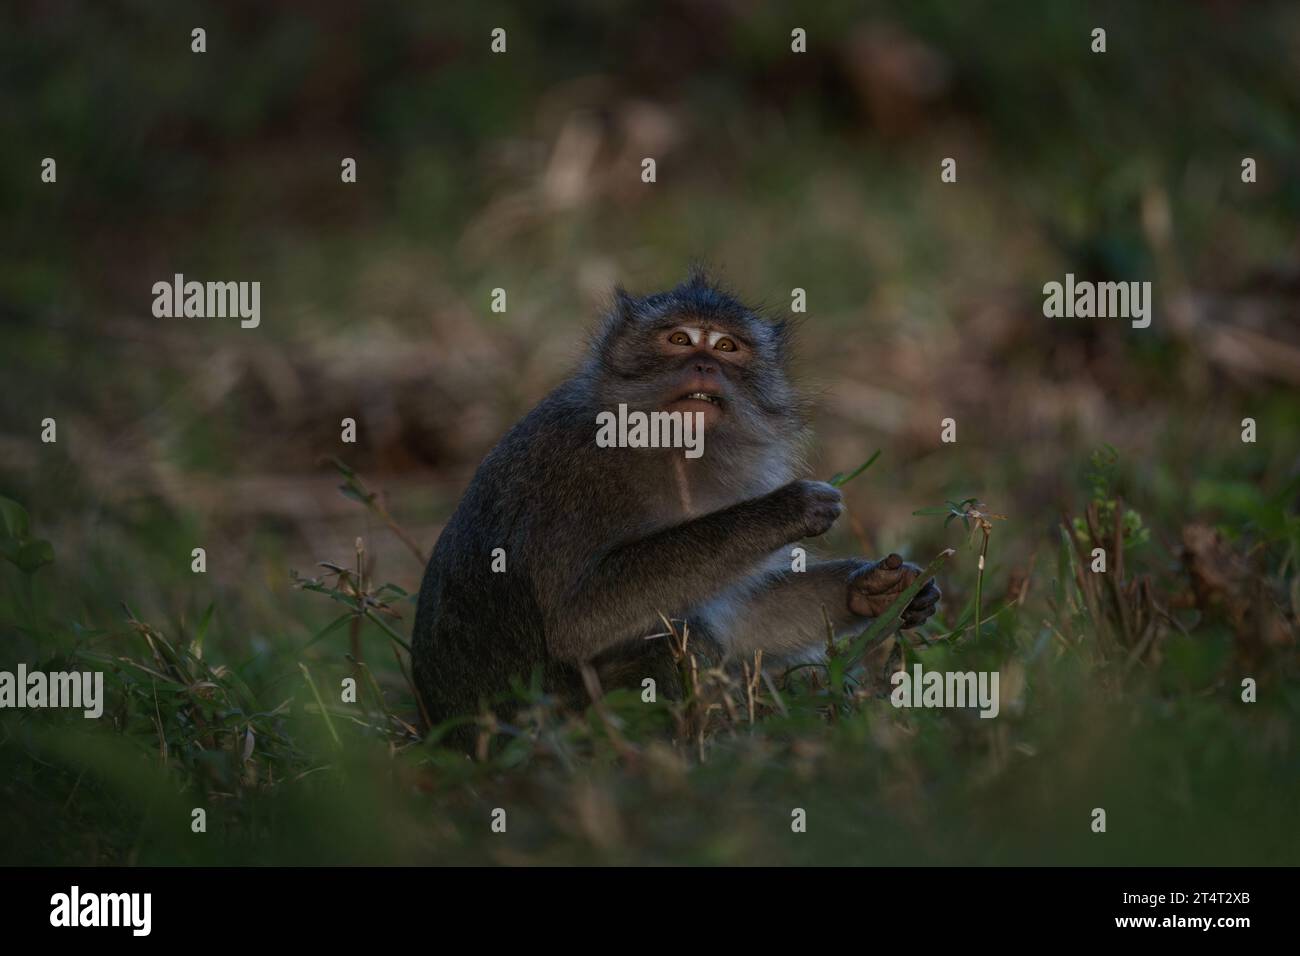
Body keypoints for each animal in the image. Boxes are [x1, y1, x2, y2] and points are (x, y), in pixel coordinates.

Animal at [410, 269, 941, 738]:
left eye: (726, 347)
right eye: (681, 340)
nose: (705, 364)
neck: (668, 452)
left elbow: (741, 623)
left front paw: (872, 590)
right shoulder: (570, 482)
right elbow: (575, 622)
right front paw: (785, 509)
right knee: (671, 642)